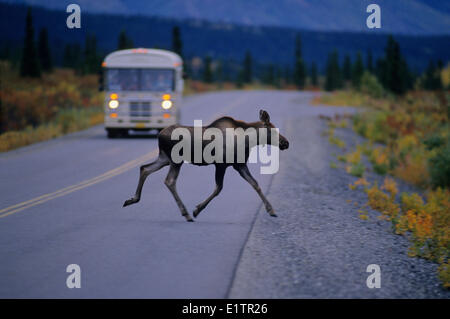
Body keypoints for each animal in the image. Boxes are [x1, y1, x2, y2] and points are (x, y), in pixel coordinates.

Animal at [123, 110, 290, 222]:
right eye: (273, 130)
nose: (286, 142)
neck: (248, 140)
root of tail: (159, 135)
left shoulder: (239, 164)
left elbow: (255, 184)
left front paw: (271, 209)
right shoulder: (221, 165)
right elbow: (218, 189)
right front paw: (197, 209)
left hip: (164, 158)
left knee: (145, 168)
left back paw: (132, 199)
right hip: (175, 160)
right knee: (169, 181)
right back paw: (186, 213)